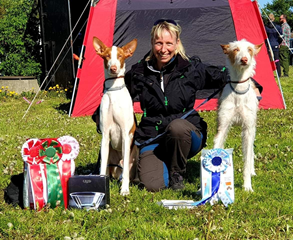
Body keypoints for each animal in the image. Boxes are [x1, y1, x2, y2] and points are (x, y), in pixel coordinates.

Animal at [93, 37, 137, 195]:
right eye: (107, 56)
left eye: (120, 56)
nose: (113, 68)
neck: (114, 91)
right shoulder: (105, 136)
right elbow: (101, 169)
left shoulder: (125, 134)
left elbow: (126, 175)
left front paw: (124, 190)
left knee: (126, 171)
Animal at [212, 39, 262, 193]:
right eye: (235, 50)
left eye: (250, 50)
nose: (244, 59)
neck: (239, 89)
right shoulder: (222, 127)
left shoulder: (248, 129)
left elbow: (247, 159)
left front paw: (247, 186)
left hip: (252, 128)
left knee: (250, 152)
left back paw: (252, 171)